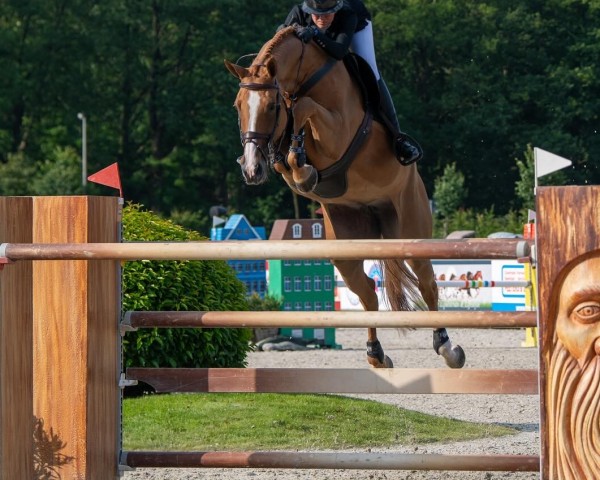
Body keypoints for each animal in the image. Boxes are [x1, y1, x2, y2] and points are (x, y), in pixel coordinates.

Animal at [225, 26, 464, 370]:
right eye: (238, 105)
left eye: (270, 107)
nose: (251, 169)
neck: (307, 76)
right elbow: (291, 148)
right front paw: (297, 164)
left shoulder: (338, 130)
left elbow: (304, 108)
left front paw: (301, 163)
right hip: (346, 243)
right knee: (367, 292)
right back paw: (376, 354)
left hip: (410, 229)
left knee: (427, 282)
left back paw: (447, 347)